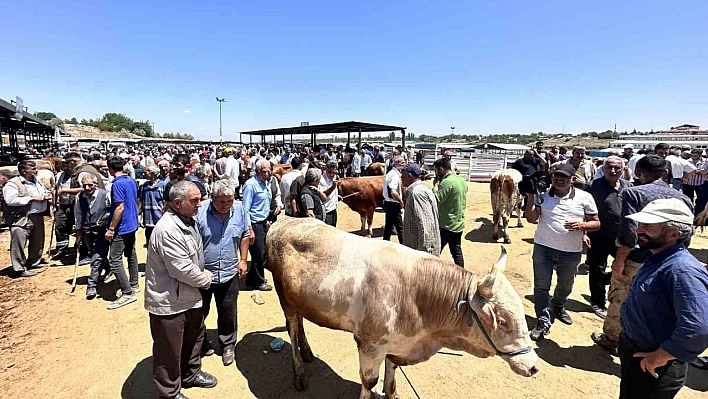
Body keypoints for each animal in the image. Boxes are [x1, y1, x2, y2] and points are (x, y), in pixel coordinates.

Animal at [268, 219, 540, 399]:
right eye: (503, 321)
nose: (534, 366)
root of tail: (284, 221)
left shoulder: (397, 344)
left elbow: (391, 377)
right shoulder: (370, 343)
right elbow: (370, 381)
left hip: (298, 298)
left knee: (300, 323)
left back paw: (307, 352)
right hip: (283, 296)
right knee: (292, 328)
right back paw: (299, 373)